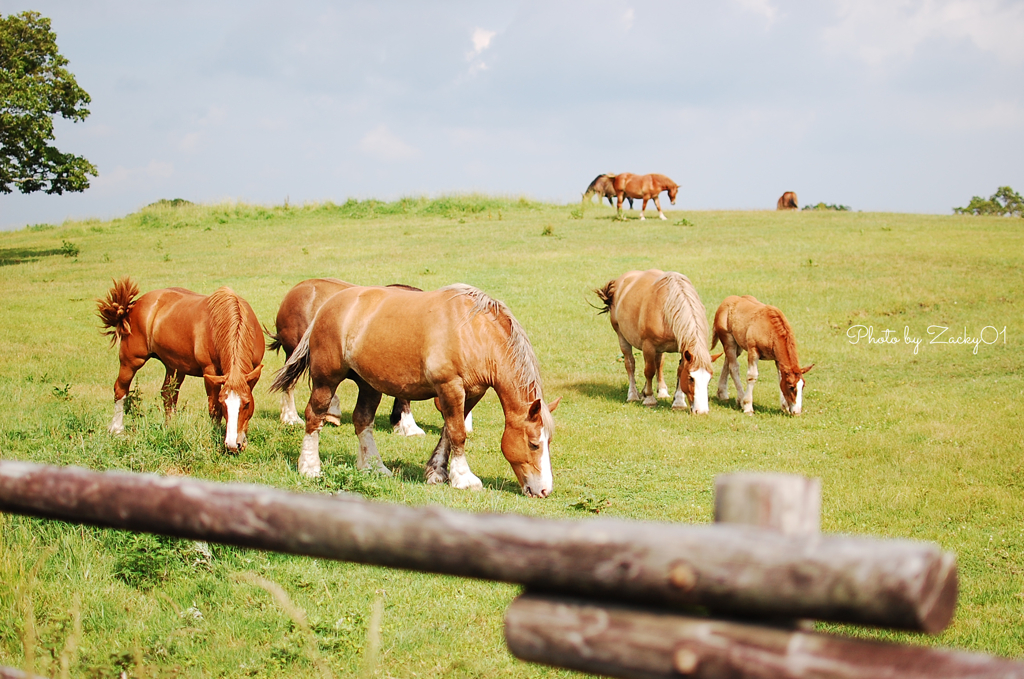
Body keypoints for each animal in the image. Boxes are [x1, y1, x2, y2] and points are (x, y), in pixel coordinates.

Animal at [270, 284, 561, 497]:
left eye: (548, 443)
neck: (473, 332)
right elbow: (457, 434)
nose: (544, 490)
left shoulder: (471, 392)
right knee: (314, 416)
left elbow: (449, 432)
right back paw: (310, 467)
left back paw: (374, 467)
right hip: (326, 379)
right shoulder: (450, 387)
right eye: (534, 444)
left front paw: (437, 472)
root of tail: (327, 306)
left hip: (369, 384)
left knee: (362, 421)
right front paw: (463, 478)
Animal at [593, 270, 712, 413]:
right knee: (630, 363)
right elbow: (649, 371)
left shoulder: (683, 348)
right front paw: (650, 399)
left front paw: (678, 402)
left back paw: (660, 391)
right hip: (622, 336)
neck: (668, 307)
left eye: (709, 379)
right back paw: (633, 395)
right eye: (691, 378)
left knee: (659, 363)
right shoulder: (648, 345)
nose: (702, 411)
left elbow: (677, 370)